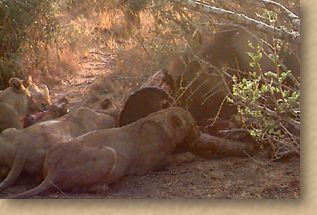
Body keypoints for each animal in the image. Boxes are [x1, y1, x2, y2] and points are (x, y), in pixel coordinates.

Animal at [11, 107, 201, 198]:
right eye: (193, 125)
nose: (199, 134)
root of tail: (53, 171)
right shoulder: (148, 164)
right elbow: (171, 158)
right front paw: (189, 155)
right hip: (110, 153)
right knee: (80, 188)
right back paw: (102, 187)